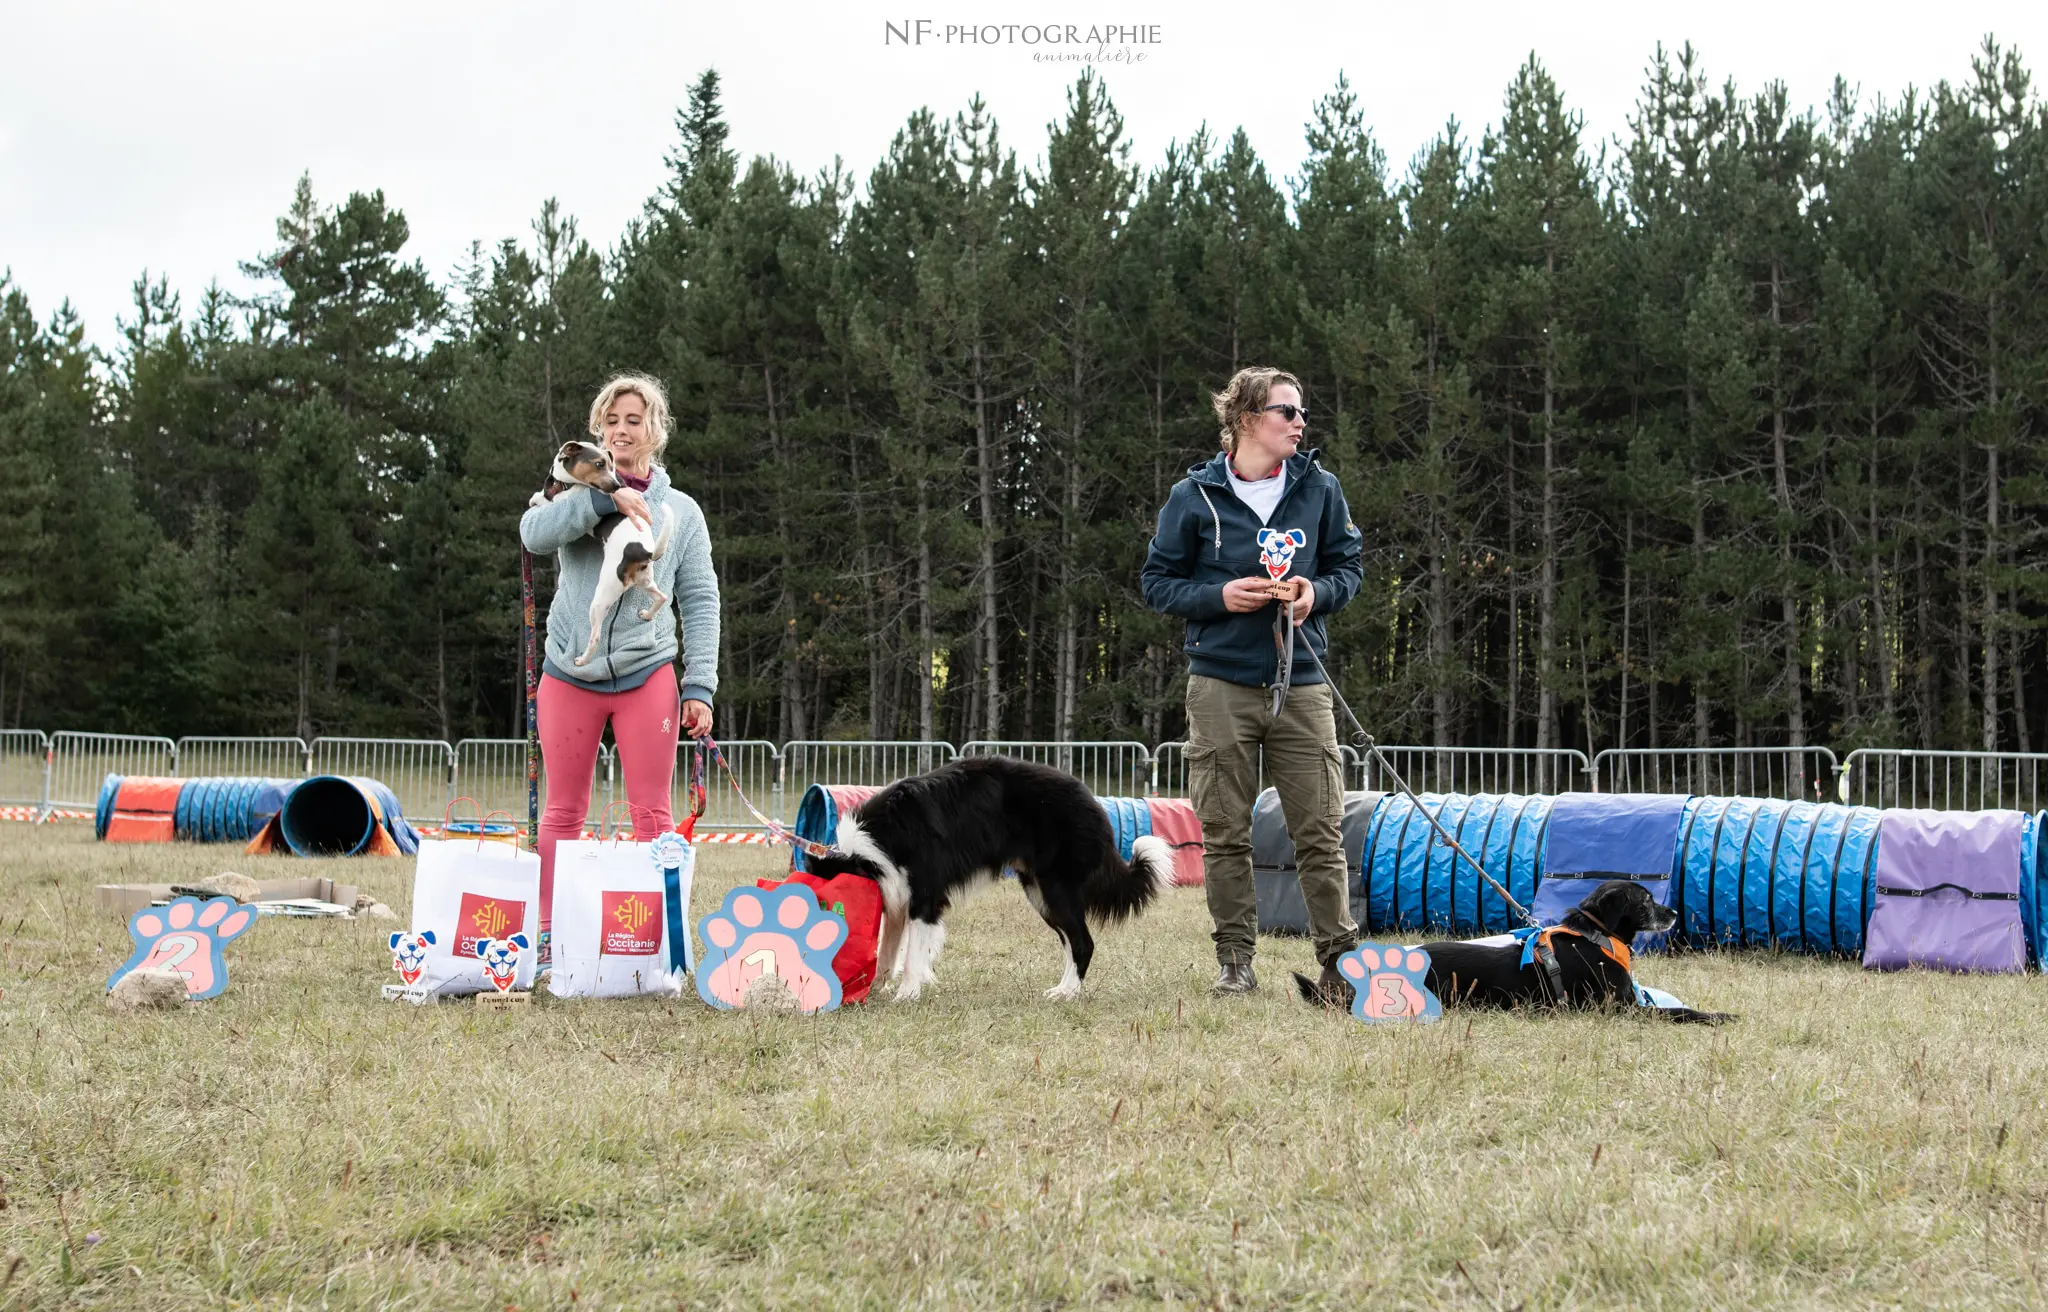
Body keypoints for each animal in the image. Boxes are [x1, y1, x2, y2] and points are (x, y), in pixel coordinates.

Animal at [532, 440, 675, 663]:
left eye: (609, 465)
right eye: (600, 464)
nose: (616, 486)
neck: (568, 482)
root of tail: (645, 552)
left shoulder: (566, 498)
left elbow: (547, 499)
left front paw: (536, 498)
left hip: (601, 598)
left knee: (596, 637)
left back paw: (582, 660)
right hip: (644, 581)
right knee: (661, 596)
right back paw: (647, 615)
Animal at [806, 753, 1179, 998]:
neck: (874, 845)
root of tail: (1095, 805)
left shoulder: (925, 898)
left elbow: (913, 955)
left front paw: (907, 994)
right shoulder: (897, 899)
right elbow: (888, 950)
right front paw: (875, 988)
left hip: (1055, 888)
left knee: (1083, 942)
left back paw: (1068, 994)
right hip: (1039, 893)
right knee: (1071, 942)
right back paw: (1061, 988)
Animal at [1294, 880, 1728, 1023]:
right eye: (1645, 901)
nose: (1674, 913)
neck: (1596, 936)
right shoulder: (1620, 1008)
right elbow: (1679, 1011)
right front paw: (1718, 1016)